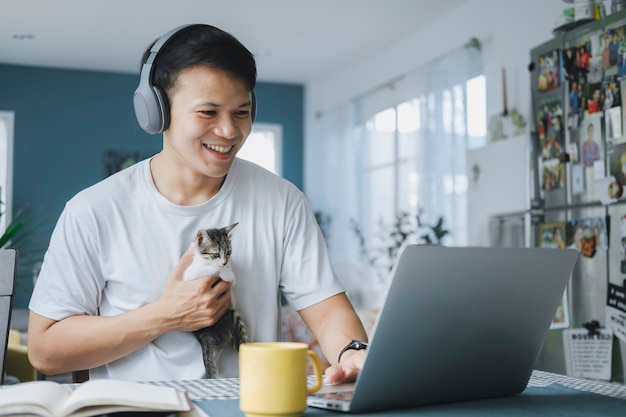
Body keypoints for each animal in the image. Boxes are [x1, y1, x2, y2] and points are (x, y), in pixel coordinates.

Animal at [182, 223, 247, 378]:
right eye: (216, 254)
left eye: (228, 252)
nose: (224, 263)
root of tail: (204, 338)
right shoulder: (190, 275)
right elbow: (210, 269)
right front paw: (227, 274)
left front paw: (229, 272)